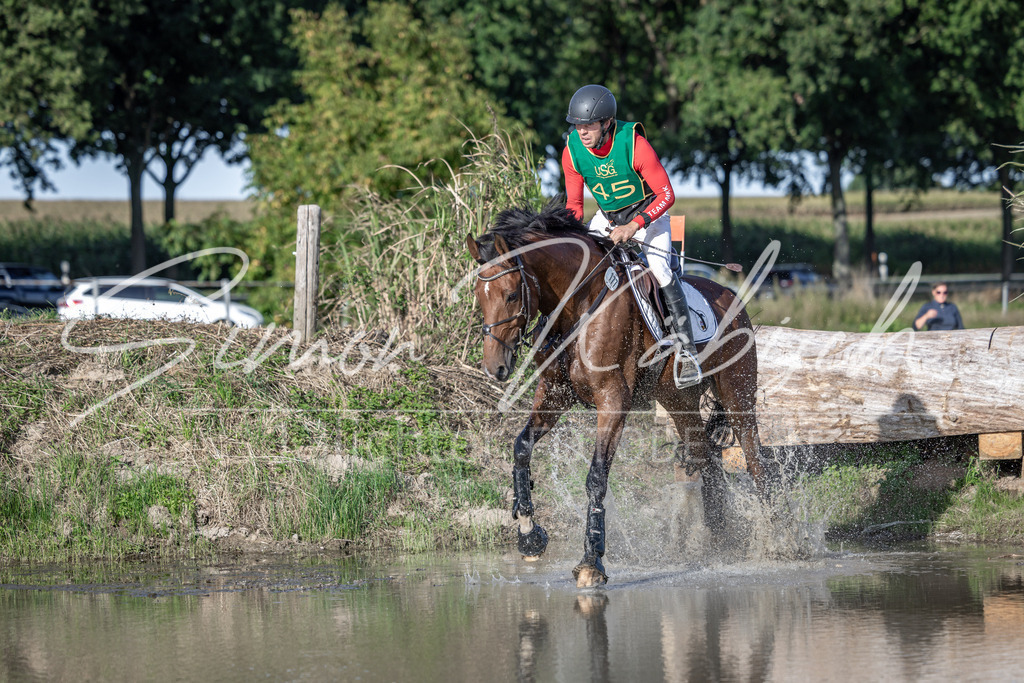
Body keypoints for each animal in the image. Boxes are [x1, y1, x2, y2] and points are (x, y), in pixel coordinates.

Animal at [465, 203, 770, 588]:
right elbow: (521, 448)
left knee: (755, 461)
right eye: (479, 296)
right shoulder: (553, 396)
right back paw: (721, 539)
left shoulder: (612, 402)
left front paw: (591, 562)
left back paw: (780, 539)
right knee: (706, 456)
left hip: (737, 393)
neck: (577, 306)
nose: (495, 368)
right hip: (677, 400)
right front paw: (529, 535)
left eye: (510, 295)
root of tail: (731, 296)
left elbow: (596, 477)